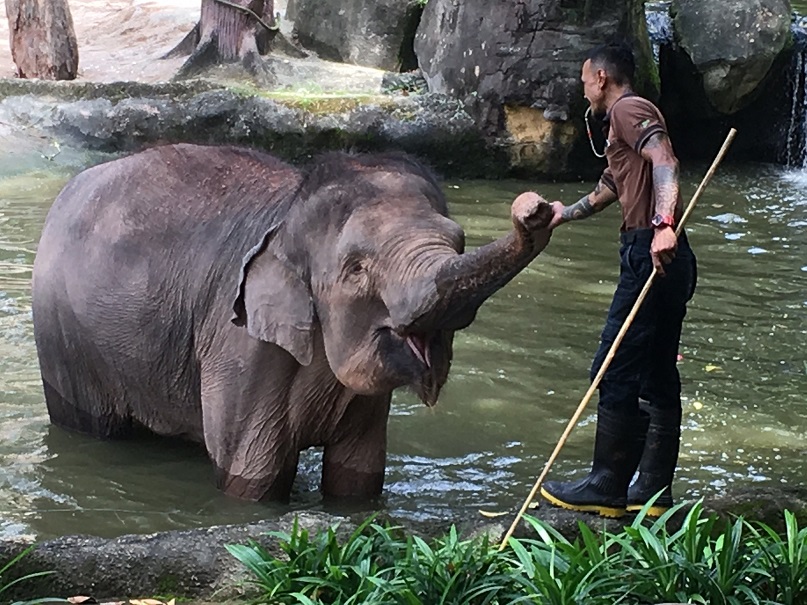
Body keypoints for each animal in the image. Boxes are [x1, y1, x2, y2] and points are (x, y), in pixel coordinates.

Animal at [32, 143, 554, 502]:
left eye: (458, 240)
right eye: (356, 269)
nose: (535, 209)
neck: (288, 217)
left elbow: (357, 477)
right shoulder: (237, 344)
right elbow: (254, 475)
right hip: (63, 339)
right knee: (91, 423)